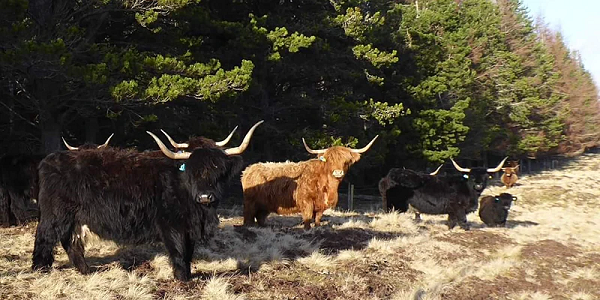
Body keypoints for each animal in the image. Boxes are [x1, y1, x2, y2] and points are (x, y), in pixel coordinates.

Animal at [29, 122, 260, 282]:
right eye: (192, 170)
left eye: (217, 170)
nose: (205, 197)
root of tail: (48, 160)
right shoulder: (171, 225)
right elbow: (178, 251)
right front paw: (183, 279)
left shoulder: (190, 226)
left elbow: (189, 252)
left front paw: (188, 275)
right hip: (55, 215)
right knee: (44, 238)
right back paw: (40, 270)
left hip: (74, 219)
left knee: (71, 242)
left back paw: (86, 271)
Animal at [240, 136, 378, 230]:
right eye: (330, 161)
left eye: (346, 161)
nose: (338, 173)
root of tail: (248, 169)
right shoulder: (306, 201)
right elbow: (307, 217)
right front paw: (307, 229)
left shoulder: (321, 205)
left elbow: (317, 218)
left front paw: (317, 227)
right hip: (250, 201)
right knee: (248, 216)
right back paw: (249, 227)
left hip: (264, 204)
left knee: (260, 216)